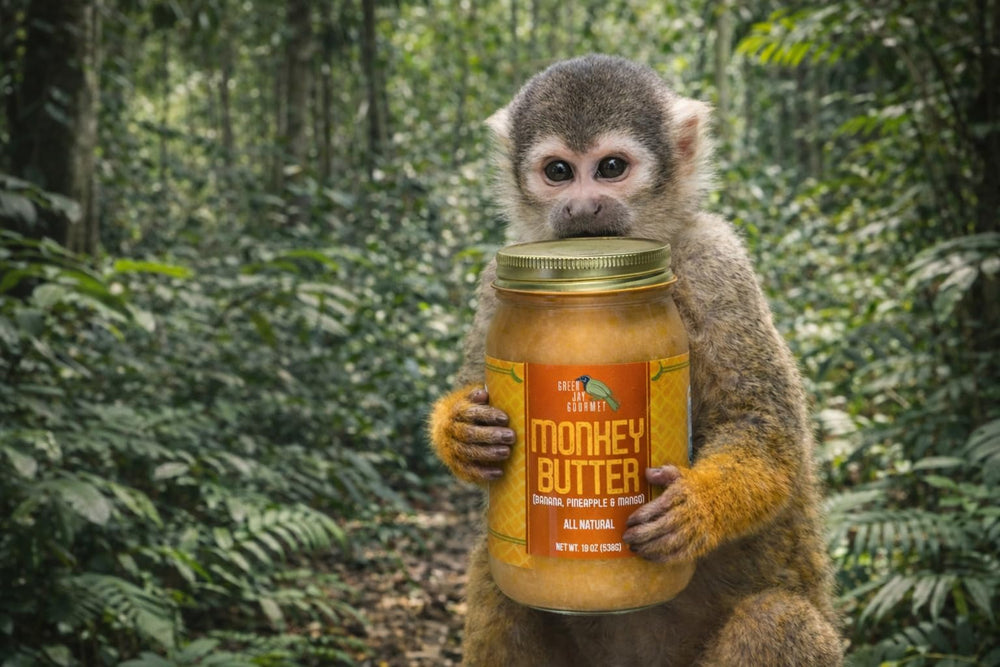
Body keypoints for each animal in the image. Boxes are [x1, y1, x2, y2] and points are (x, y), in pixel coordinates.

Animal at [429, 54, 843, 666]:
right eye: (558, 171)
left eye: (611, 167)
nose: (582, 207)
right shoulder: (493, 280)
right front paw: (462, 430)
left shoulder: (718, 259)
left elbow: (766, 428)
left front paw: (693, 507)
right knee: (495, 573)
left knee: (779, 619)